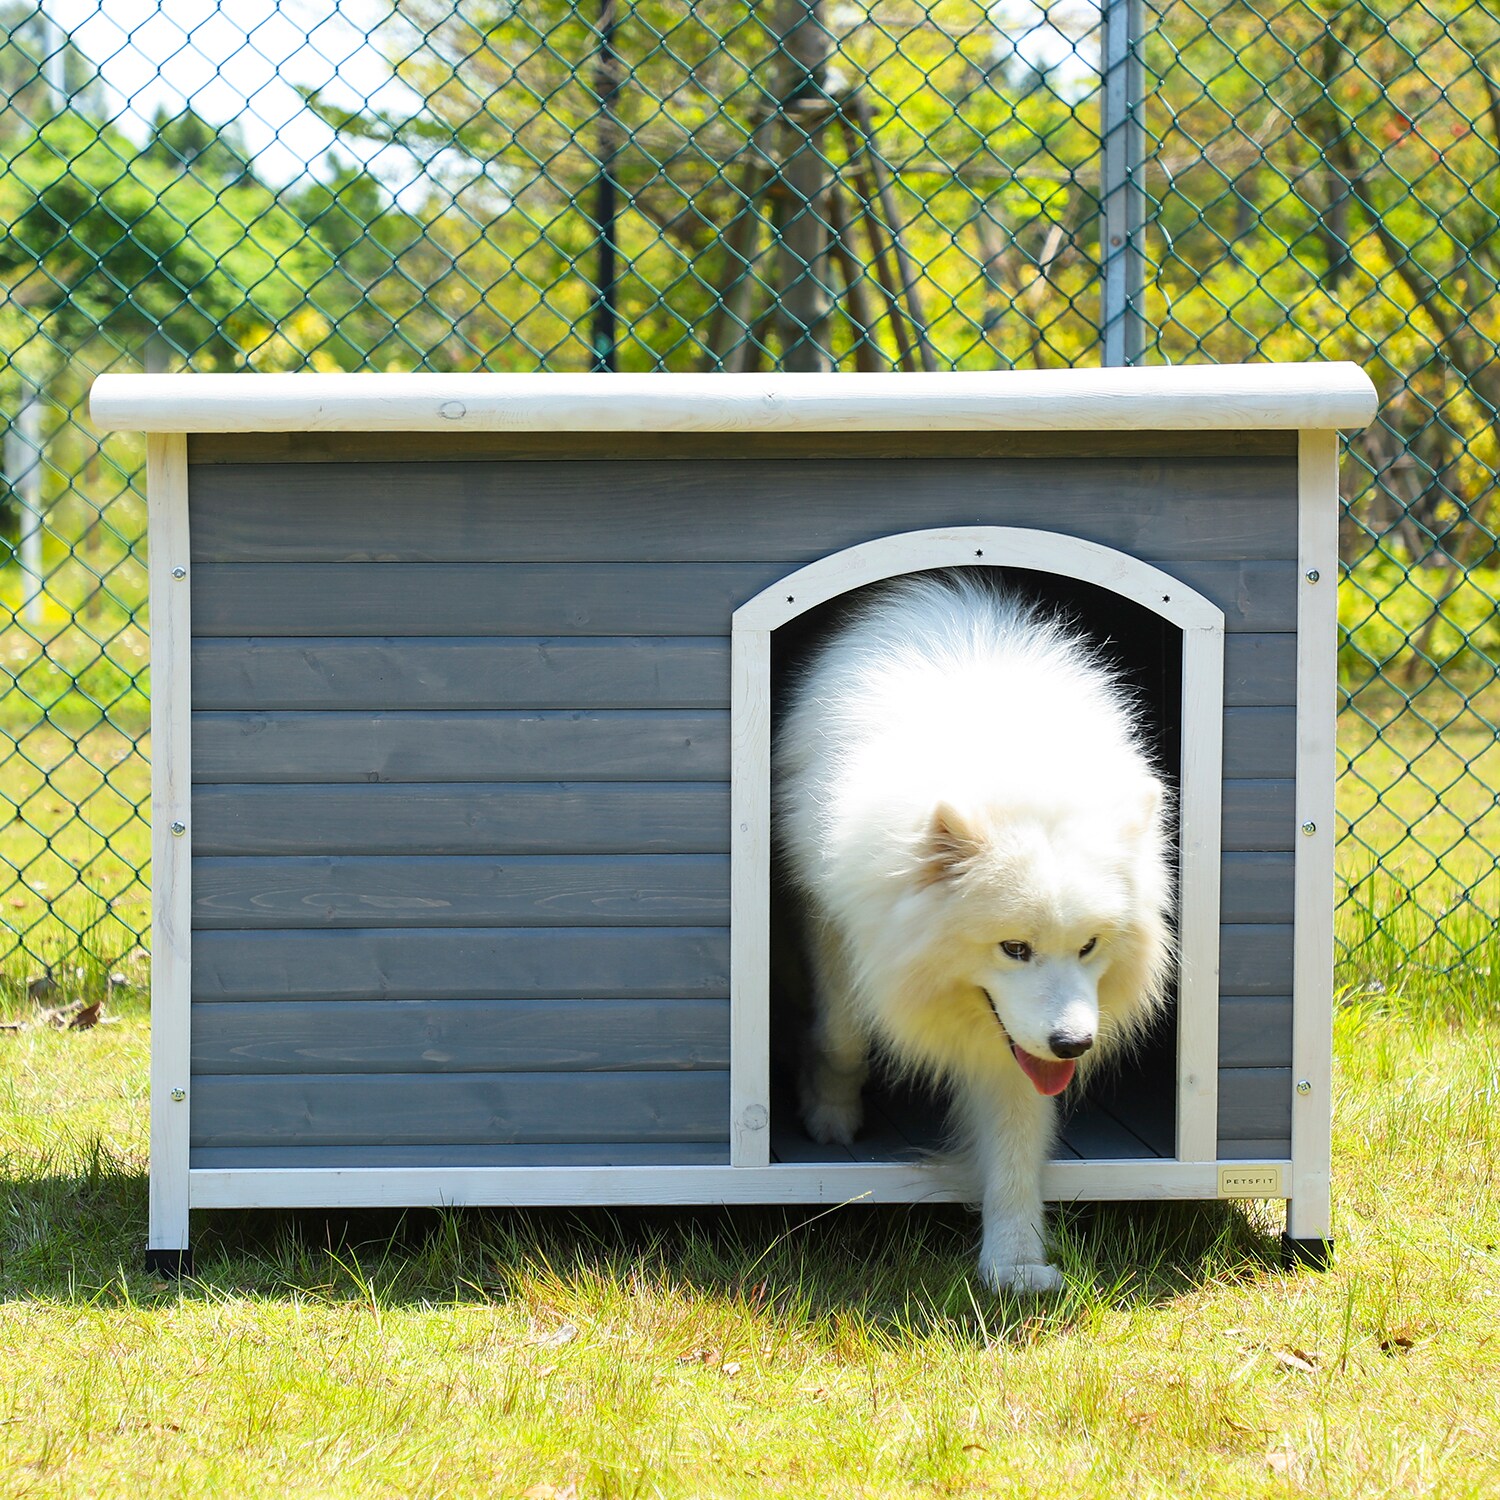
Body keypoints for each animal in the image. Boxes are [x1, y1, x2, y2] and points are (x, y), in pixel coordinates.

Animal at [774, 567, 1170, 1296]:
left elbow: (1016, 1131)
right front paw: (830, 1111)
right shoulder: (831, 915)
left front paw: (1013, 1264)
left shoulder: (1016, 1037)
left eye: (1089, 946)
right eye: (1014, 949)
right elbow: (844, 1037)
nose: (1074, 1044)